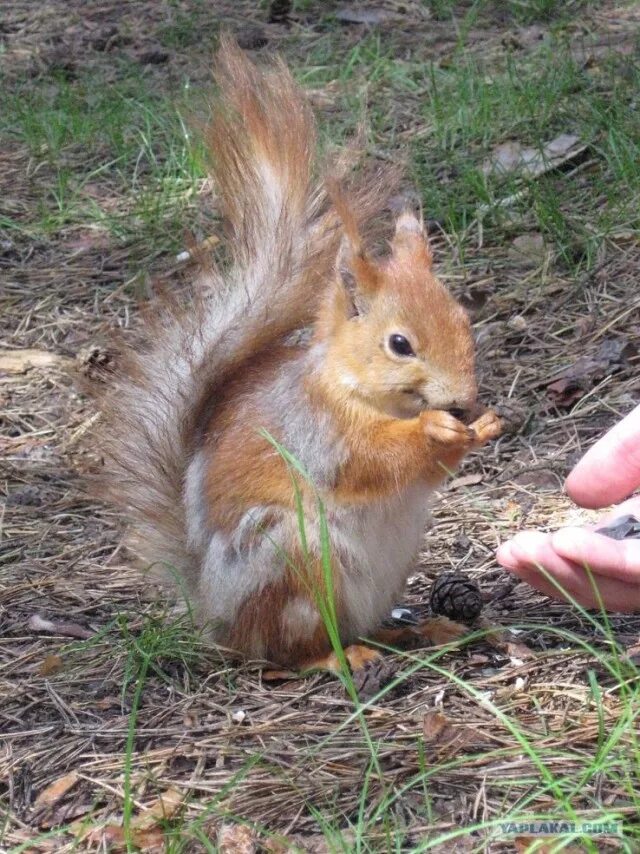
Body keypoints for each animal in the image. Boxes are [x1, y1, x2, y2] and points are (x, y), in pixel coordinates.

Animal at [99, 38, 500, 676]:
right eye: (400, 344)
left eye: (465, 321)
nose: (463, 399)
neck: (362, 392)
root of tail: (217, 616)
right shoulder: (318, 430)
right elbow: (371, 462)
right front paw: (434, 431)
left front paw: (484, 424)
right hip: (291, 563)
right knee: (287, 652)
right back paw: (340, 656)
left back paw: (420, 629)